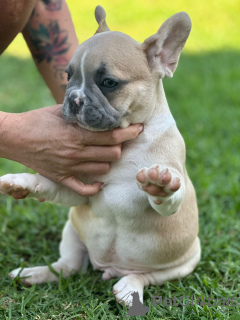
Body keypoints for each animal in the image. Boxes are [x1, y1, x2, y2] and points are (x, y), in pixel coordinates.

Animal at [0, 5, 201, 304]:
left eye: (109, 82)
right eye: (67, 76)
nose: (74, 98)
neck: (130, 145)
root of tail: (109, 267)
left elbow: (169, 197)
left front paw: (160, 184)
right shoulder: (82, 189)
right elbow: (49, 184)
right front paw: (21, 182)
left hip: (184, 262)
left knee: (147, 276)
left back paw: (129, 287)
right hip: (72, 231)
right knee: (68, 266)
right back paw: (33, 274)